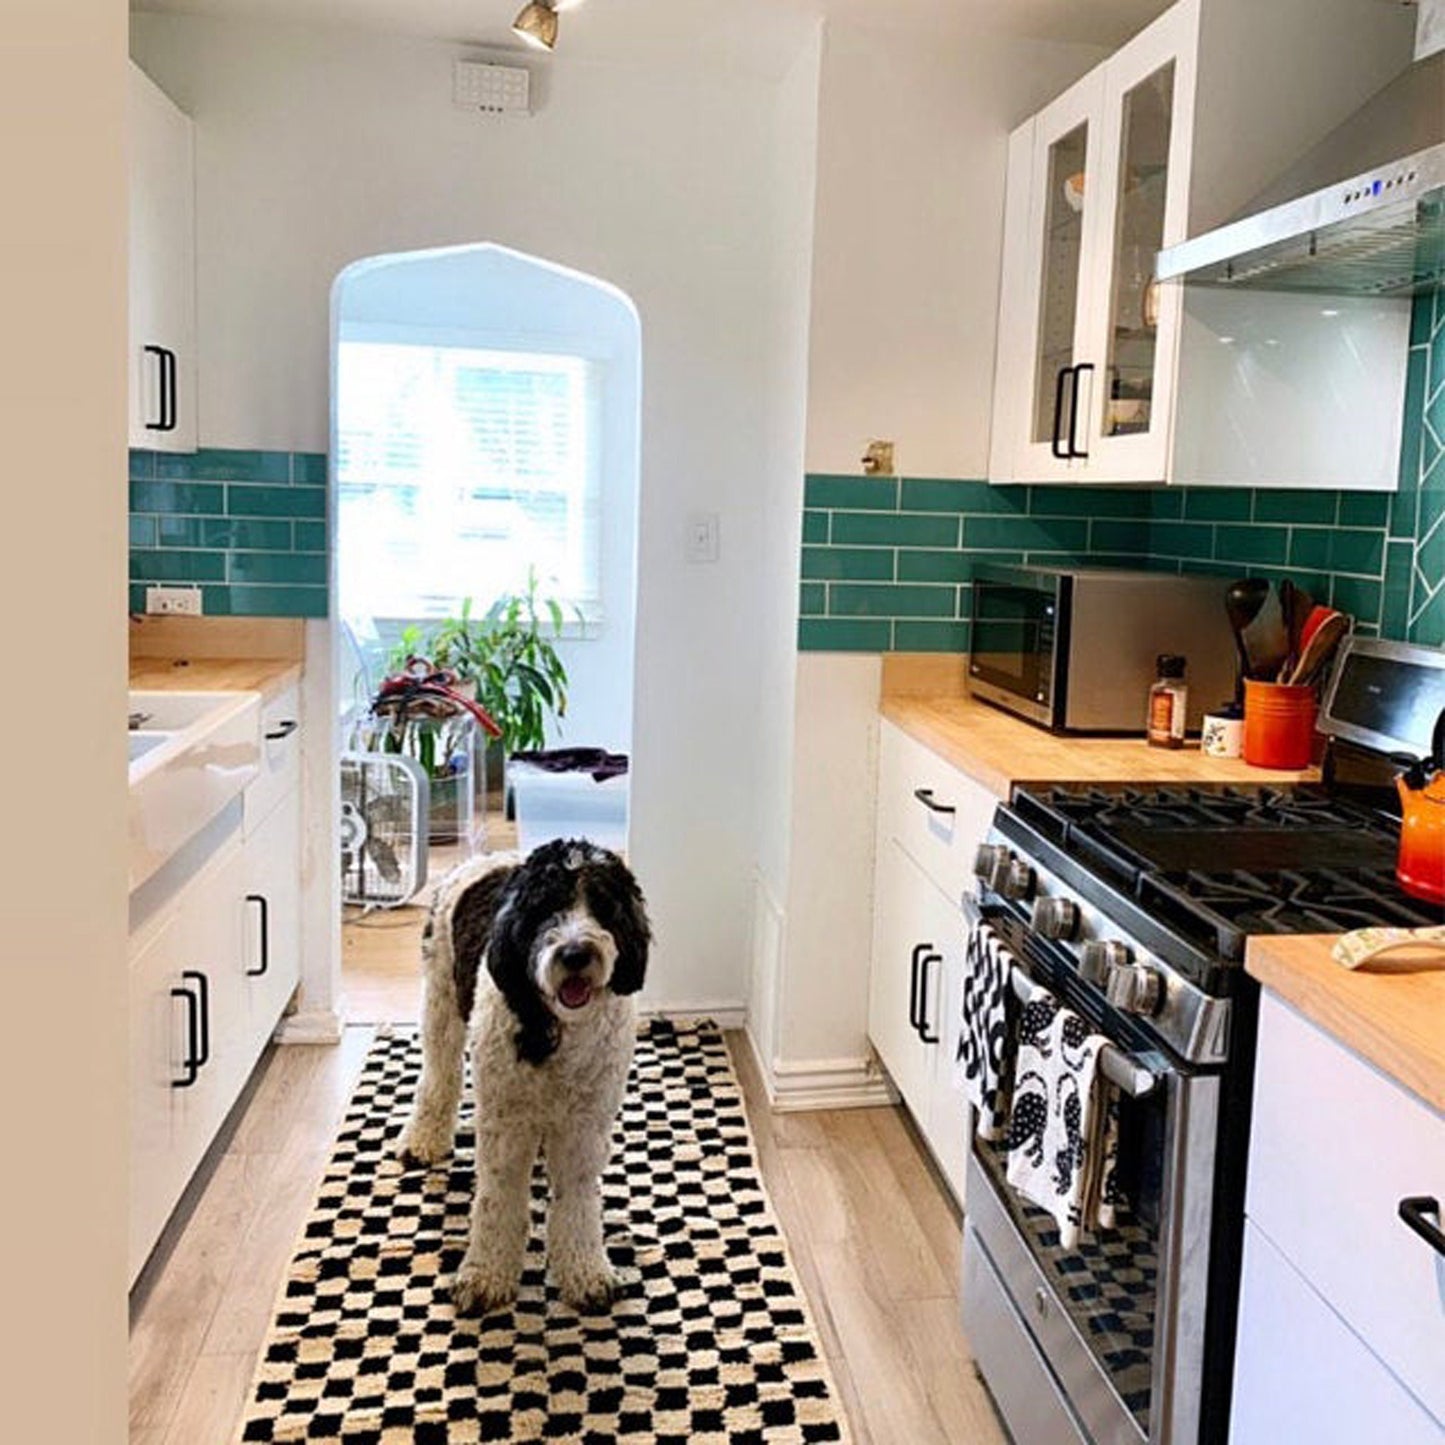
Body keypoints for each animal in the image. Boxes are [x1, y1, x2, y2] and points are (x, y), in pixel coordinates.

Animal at [393, 843, 647, 1317]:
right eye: (544, 907)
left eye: (604, 905)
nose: (576, 953)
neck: (555, 1028)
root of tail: (491, 856)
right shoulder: (507, 1124)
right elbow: (498, 1198)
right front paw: (486, 1276)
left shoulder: (584, 1126)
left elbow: (577, 1201)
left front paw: (586, 1273)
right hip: (441, 1003)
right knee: (439, 1076)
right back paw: (423, 1138)